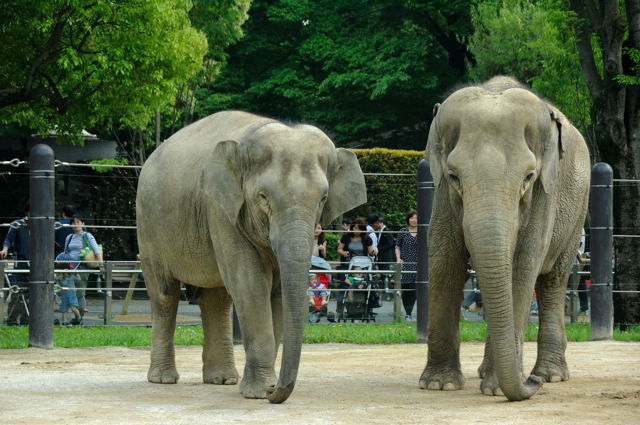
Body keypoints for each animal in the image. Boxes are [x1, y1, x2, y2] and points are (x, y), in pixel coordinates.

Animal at [136, 109, 364, 400]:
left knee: (217, 299)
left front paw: (262, 388)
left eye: (323, 198)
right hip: (149, 225)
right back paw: (163, 379)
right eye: (263, 197)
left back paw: (222, 380)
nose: (274, 391)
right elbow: (251, 283)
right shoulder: (220, 208)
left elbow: (277, 290)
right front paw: (258, 393)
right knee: (165, 294)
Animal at [420, 77, 592, 400]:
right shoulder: (440, 192)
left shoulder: (544, 192)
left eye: (528, 177)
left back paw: (549, 375)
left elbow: (523, 264)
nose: (531, 385)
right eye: (454, 175)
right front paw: (439, 384)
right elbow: (444, 258)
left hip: (579, 209)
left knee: (554, 279)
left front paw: (498, 389)